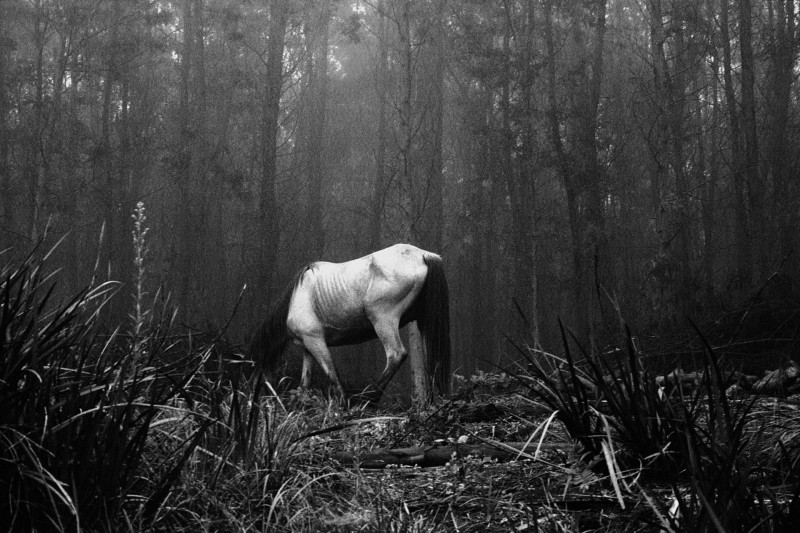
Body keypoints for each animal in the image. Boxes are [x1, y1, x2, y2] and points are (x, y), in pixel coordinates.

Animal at [248, 243, 451, 401]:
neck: (296, 297)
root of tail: (423, 255)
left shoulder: (315, 341)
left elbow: (332, 375)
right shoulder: (308, 348)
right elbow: (304, 385)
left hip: (382, 319)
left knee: (396, 355)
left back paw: (367, 399)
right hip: (423, 323)